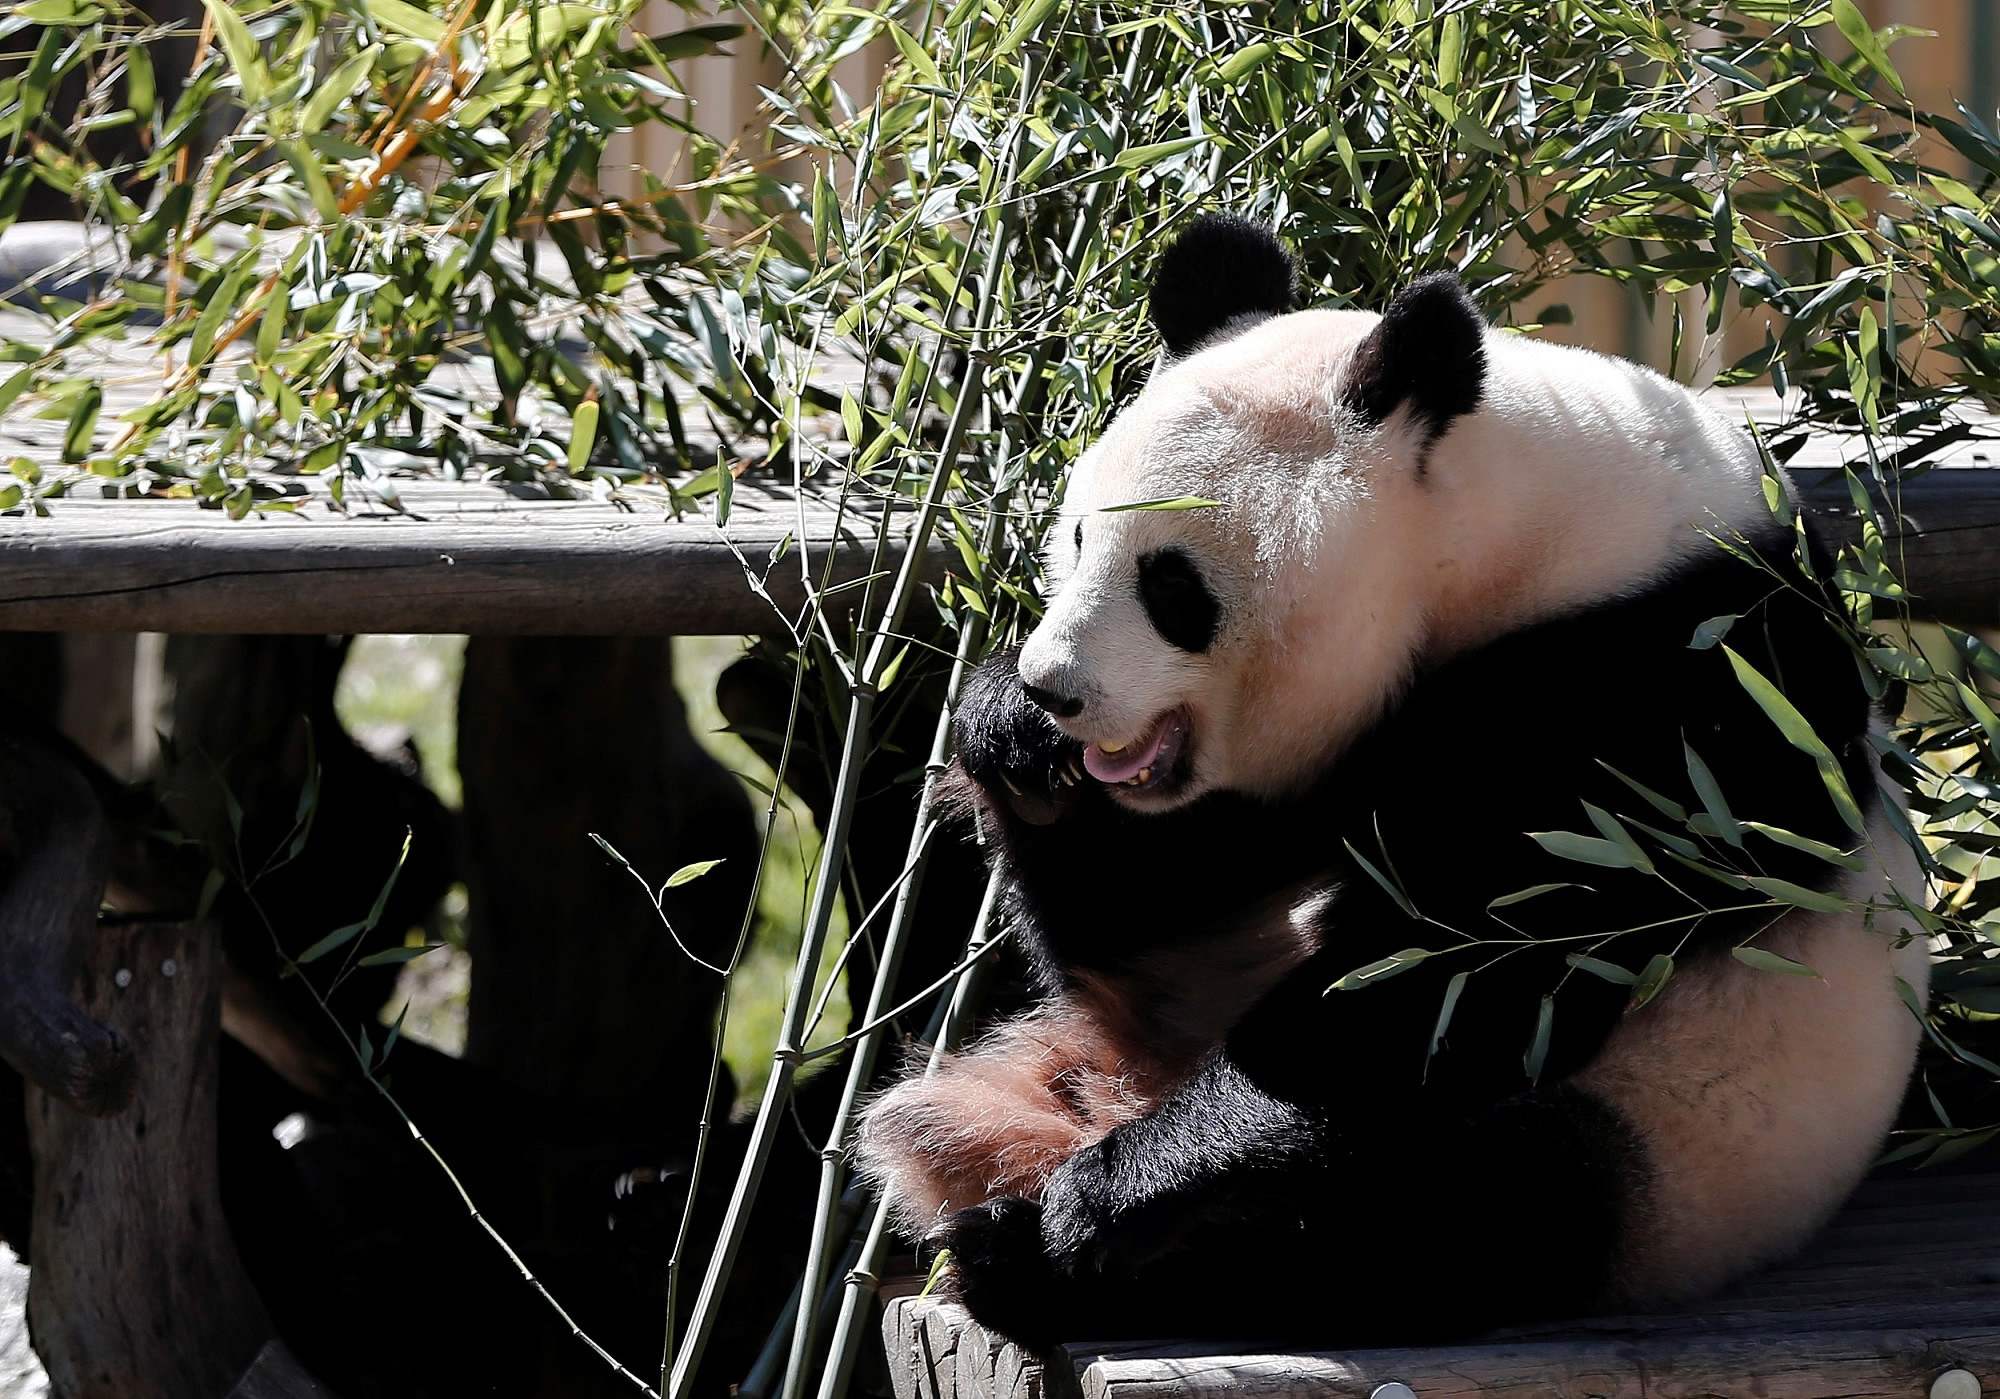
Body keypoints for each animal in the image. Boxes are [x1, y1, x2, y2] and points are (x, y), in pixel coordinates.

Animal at [852, 215, 1928, 1343]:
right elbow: (1156, 907)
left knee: (1452, 1211)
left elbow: (1453, 972)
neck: (1517, 533)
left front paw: (1100, 1202)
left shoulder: (1673, 697)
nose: (1054, 687)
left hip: (1676, 1142)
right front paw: (1009, 736)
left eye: (1170, 584)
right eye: (1074, 535)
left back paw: (1041, 1253)